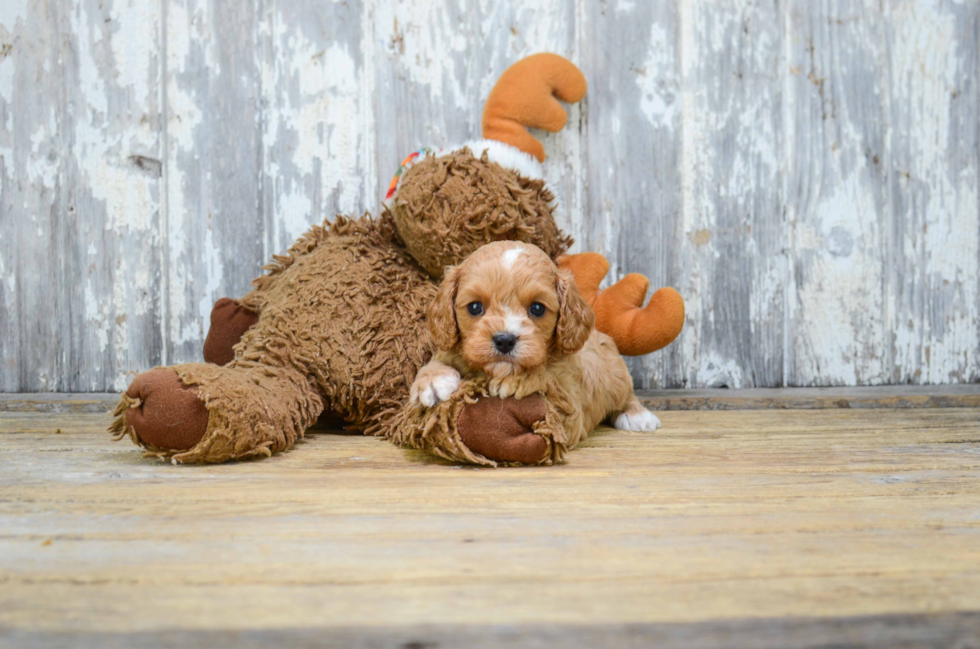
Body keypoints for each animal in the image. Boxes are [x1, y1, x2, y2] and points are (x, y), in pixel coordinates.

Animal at [410, 239, 664, 456]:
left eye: (537, 308)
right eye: (474, 307)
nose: (504, 340)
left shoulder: (570, 407)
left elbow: (546, 381)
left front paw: (517, 380)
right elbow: (435, 362)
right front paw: (433, 381)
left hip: (617, 376)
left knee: (627, 395)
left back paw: (638, 416)